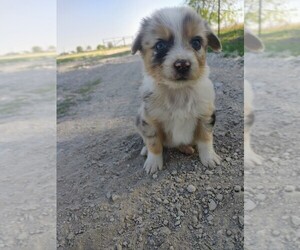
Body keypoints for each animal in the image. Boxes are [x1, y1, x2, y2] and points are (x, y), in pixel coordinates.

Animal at [132, 6, 221, 174]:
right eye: (160, 45)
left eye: (196, 42)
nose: (182, 65)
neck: (179, 91)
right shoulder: (149, 119)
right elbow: (154, 142)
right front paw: (153, 162)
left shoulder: (205, 114)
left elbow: (205, 137)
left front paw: (209, 157)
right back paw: (146, 150)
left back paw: (186, 148)